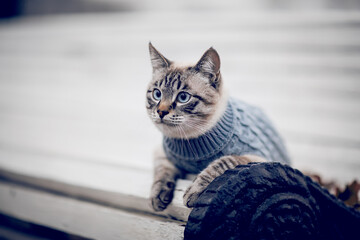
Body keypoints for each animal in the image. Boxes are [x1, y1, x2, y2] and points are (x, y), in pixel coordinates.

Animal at [146, 43, 290, 212]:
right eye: (157, 94)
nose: (161, 112)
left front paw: (194, 191)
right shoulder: (160, 152)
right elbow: (163, 170)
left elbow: (222, 162)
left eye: (183, 97)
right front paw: (158, 194)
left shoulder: (258, 158)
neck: (188, 140)